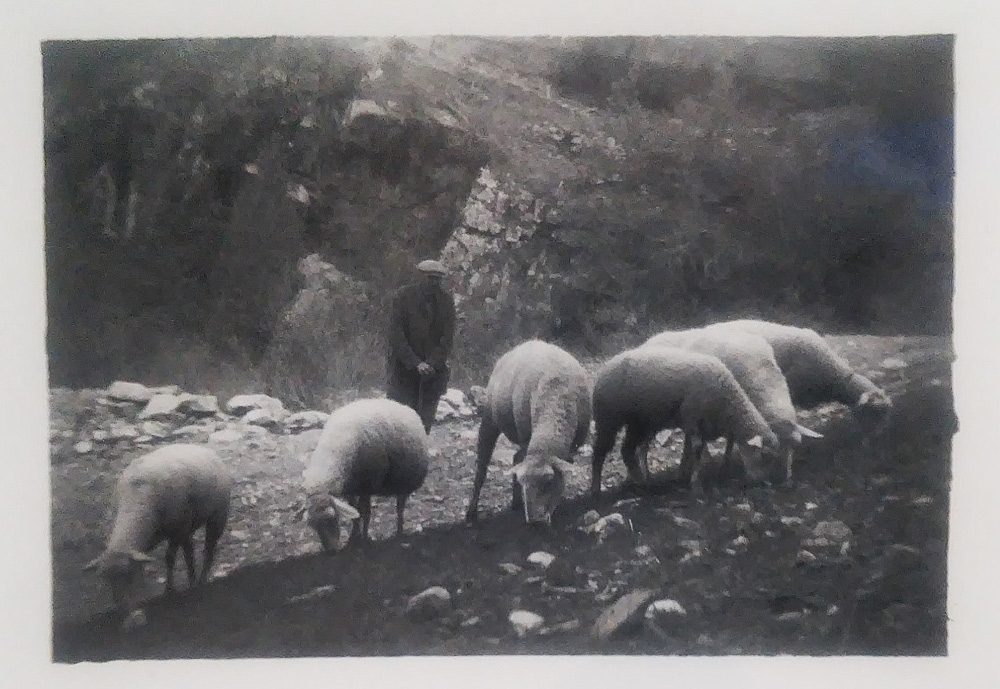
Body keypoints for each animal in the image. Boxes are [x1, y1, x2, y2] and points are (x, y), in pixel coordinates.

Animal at [83, 444, 232, 612]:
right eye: (107, 579)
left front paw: (169, 590)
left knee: (208, 550)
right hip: (189, 525)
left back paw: (200, 580)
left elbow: (169, 558)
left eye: (128, 575)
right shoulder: (151, 539)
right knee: (190, 551)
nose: (121, 607)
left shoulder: (177, 531)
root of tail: (200, 447)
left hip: (217, 516)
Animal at [300, 398, 430, 551]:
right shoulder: (351, 488)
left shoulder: (367, 485)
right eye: (313, 525)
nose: (330, 551)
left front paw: (364, 539)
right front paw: (353, 538)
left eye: (333, 518)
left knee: (400, 508)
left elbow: (365, 512)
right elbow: (355, 512)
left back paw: (399, 533)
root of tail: (399, 404)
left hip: (404, 481)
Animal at [464, 340, 591, 526]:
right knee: (482, 465)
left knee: (516, 458)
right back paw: (472, 511)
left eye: (548, 483)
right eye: (524, 484)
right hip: (490, 419)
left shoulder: (572, 446)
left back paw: (516, 502)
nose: (535, 521)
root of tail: (529, 342)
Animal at [590, 346, 780, 496]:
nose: (761, 483)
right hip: (609, 418)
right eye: (765, 455)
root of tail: (604, 369)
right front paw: (696, 486)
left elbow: (690, 450)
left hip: (640, 423)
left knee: (630, 450)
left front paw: (683, 476)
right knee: (601, 451)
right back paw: (597, 489)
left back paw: (643, 482)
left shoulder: (698, 426)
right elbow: (696, 451)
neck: (726, 402)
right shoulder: (693, 420)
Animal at [643, 325, 823, 482]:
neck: (761, 373)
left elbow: (731, 438)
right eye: (769, 454)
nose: (785, 481)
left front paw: (726, 464)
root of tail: (651, 339)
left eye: (794, 447)